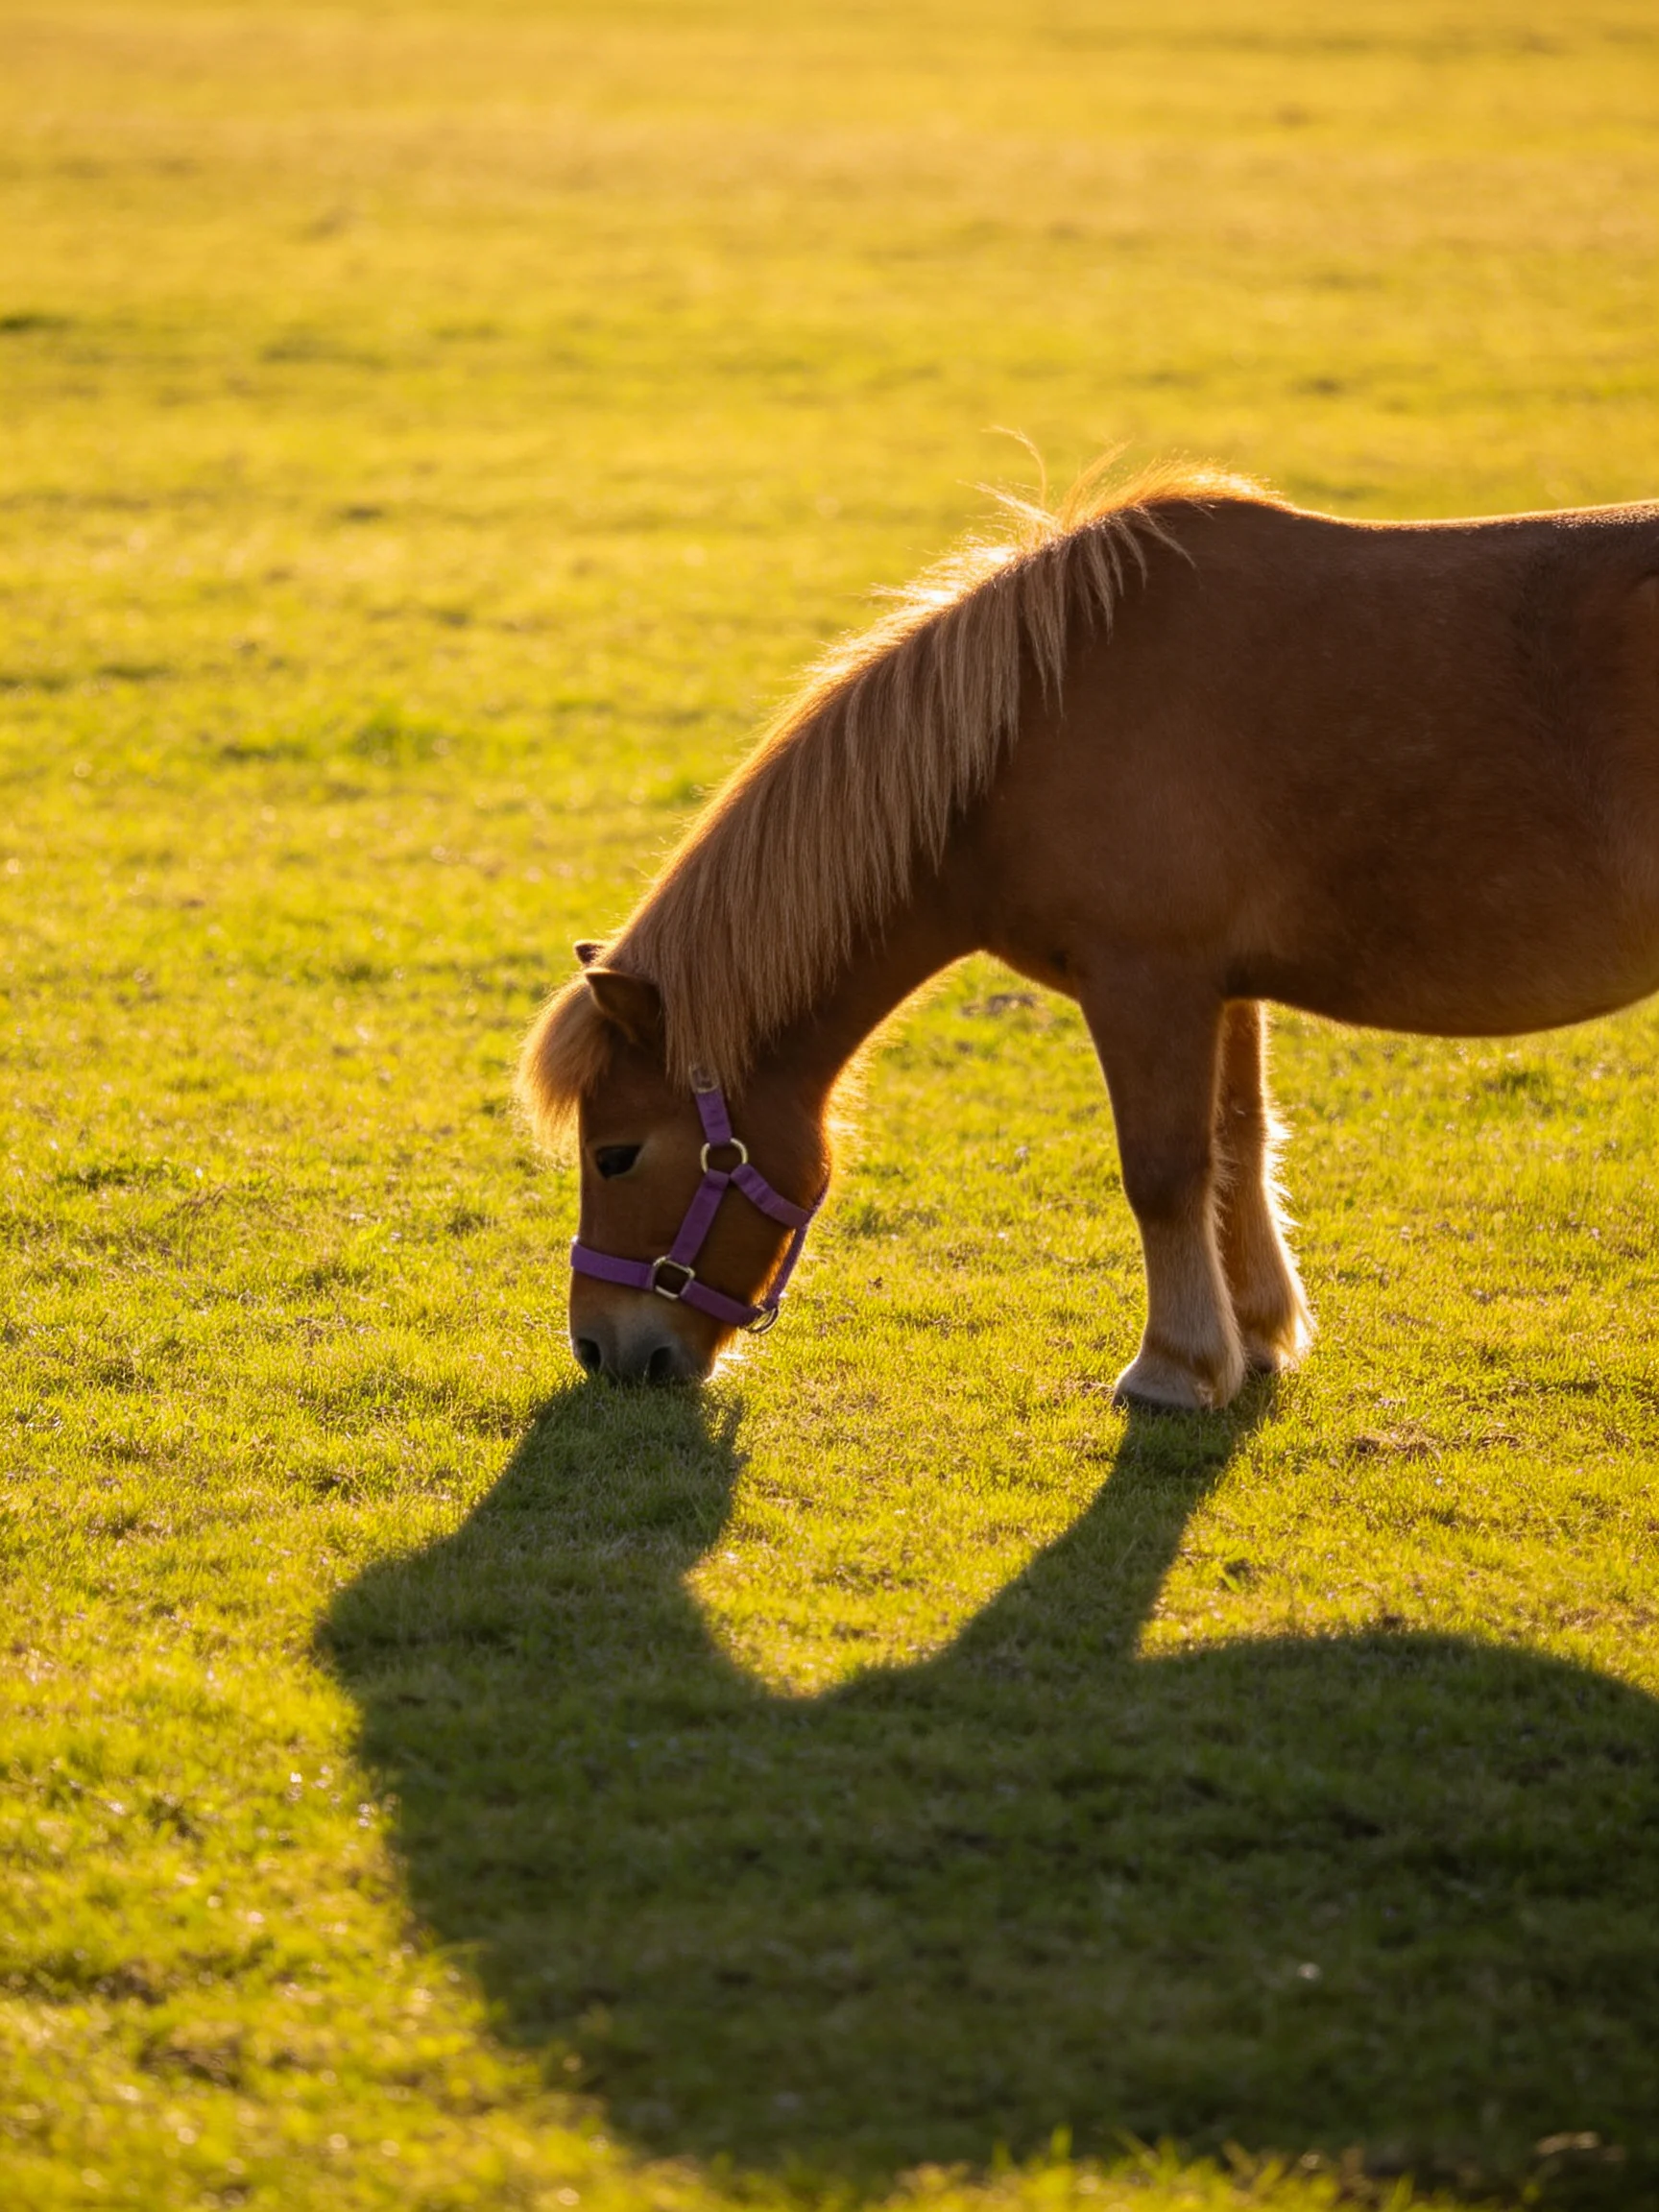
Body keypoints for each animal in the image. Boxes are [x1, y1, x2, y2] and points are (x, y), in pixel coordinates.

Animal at [518, 459, 1659, 1407]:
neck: (1034, 724)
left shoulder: (1147, 982)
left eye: (616, 1154)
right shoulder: (1222, 987)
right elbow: (1237, 1141)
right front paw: (1257, 1335)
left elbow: (1162, 1169)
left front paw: (1176, 1370)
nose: (602, 1348)